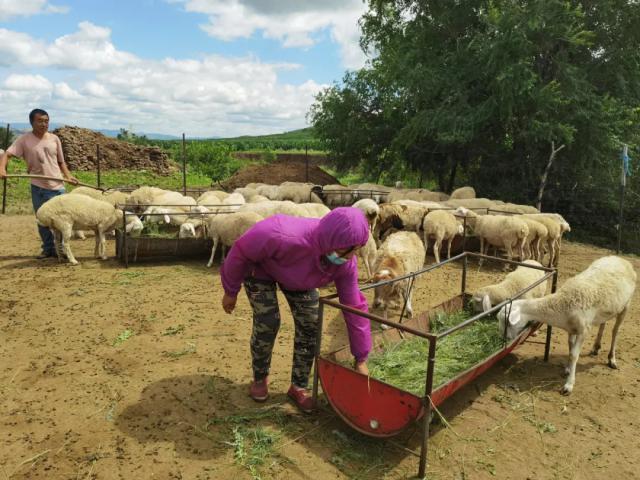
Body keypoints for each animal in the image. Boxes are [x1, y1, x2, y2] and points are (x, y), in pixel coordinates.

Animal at [498, 255, 636, 394]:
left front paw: (569, 384)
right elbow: (570, 349)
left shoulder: (583, 330)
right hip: (608, 308)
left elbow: (574, 355)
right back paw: (596, 347)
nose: (505, 338)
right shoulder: (571, 329)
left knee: (615, 331)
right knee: (603, 324)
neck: (562, 304)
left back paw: (612, 359)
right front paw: (568, 369)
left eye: (507, 322)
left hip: (626, 305)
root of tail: (621, 259)